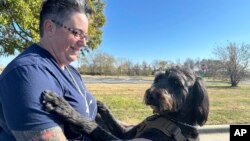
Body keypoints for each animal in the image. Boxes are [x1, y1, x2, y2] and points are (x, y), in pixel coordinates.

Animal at [42, 66, 209, 141]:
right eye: (158, 78)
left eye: (176, 83)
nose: (150, 94)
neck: (172, 119)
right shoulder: (125, 133)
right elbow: (111, 121)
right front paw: (100, 104)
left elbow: (95, 127)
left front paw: (63, 107)